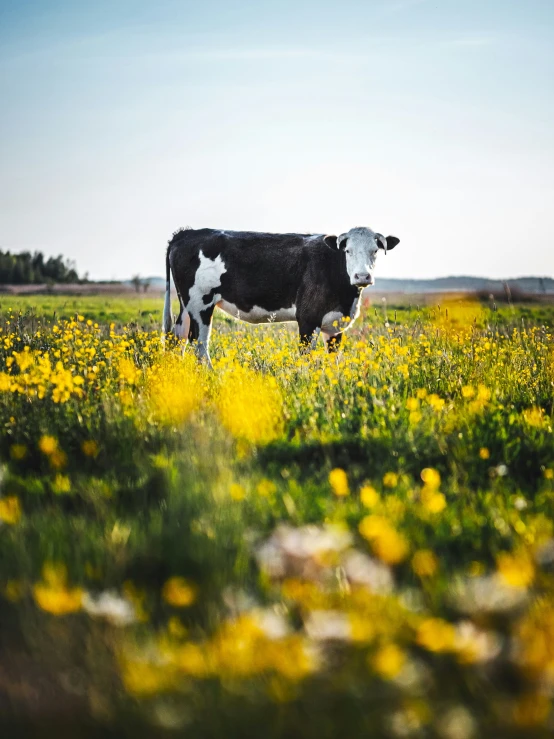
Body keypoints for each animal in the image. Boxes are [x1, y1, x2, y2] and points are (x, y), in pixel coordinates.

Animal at [162, 224, 398, 366]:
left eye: (375, 251)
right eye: (347, 251)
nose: (362, 276)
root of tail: (187, 232)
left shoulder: (335, 325)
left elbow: (334, 361)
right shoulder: (308, 318)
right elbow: (306, 358)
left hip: (187, 305)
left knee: (177, 339)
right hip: (200, 304)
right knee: (199, 344)